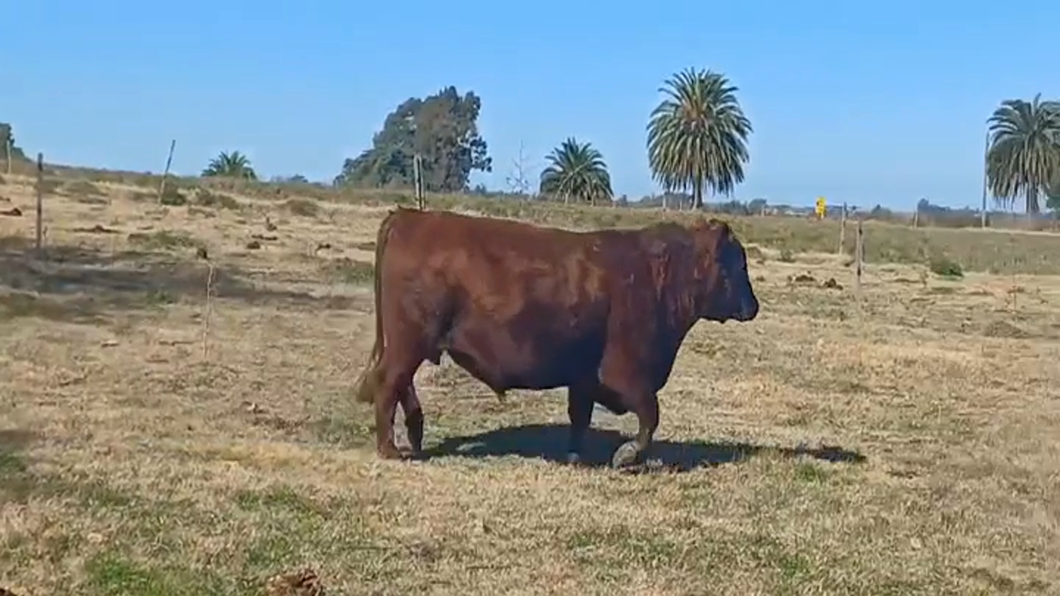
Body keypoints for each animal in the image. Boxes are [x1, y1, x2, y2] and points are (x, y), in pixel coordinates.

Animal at [351, 206, 758, 466]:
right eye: (737, 263)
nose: (753, 306)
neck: (658, 274)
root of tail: (410, 216)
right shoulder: (624, 373)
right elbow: (650, 414)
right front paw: (626, 455)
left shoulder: (585, 377)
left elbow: (581, 416)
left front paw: (576, 456)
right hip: (409, 341)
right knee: (389, 383)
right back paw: (390, 449)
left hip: (411, 343)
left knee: (401, 385)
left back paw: (415, 436)